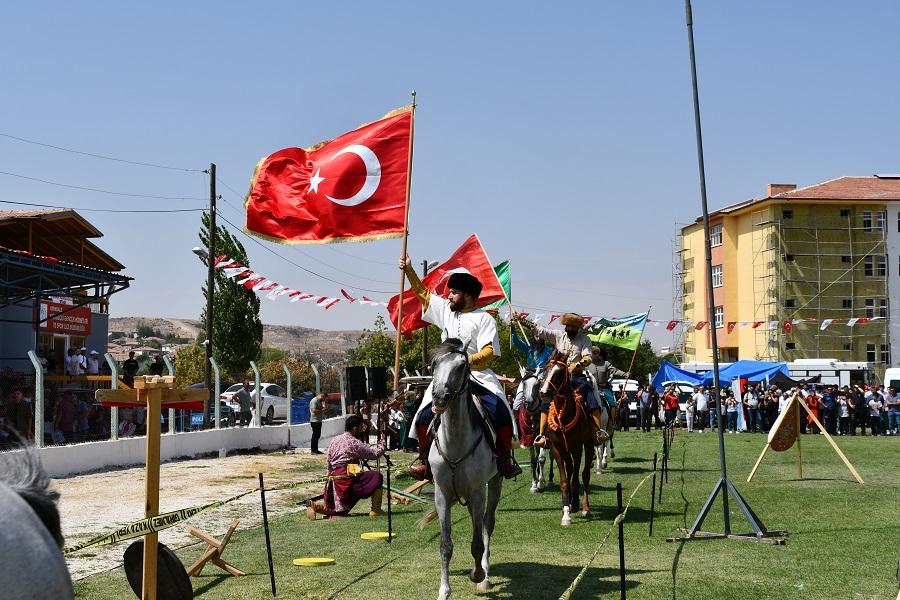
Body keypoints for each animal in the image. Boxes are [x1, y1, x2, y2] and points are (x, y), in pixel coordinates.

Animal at [536, 356, 596, 524]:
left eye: (559, 373)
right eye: (545, 370)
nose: (543, 393)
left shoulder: (577, 448)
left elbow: (577, 477)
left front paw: (577, 506)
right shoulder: (557, 448)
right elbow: (564, 480)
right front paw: (566, 512)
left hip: (589, 444)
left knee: (584, 474)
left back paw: (584, 507)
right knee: (569, 468)